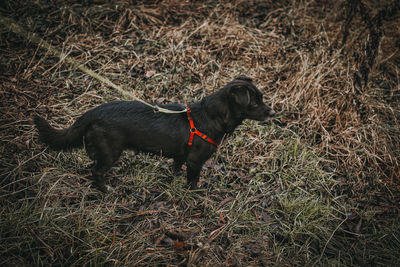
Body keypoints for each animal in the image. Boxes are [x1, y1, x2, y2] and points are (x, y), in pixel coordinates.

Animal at [35, 75, 276, 192]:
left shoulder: (181, 155)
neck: (211, 116)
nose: (274, 112)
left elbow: (176, 168)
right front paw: (195, 194)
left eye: (262, 97)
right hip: (110, 151)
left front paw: (172, 179)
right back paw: (106, 189)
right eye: (255, 103)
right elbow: (193, 180)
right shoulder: (195, 160)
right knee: (97, 171)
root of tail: (91, 113)